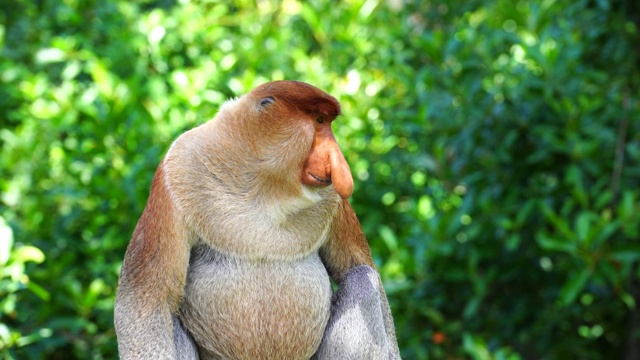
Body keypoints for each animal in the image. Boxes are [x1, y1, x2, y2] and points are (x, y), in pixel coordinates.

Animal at [114, 80, 400, 358]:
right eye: (320, 121)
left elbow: (359, 268)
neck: (261, 178)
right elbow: (147, 301)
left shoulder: (333, 198)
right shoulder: (175, 172)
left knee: (362, 278)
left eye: (327, 122)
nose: (338, 163)